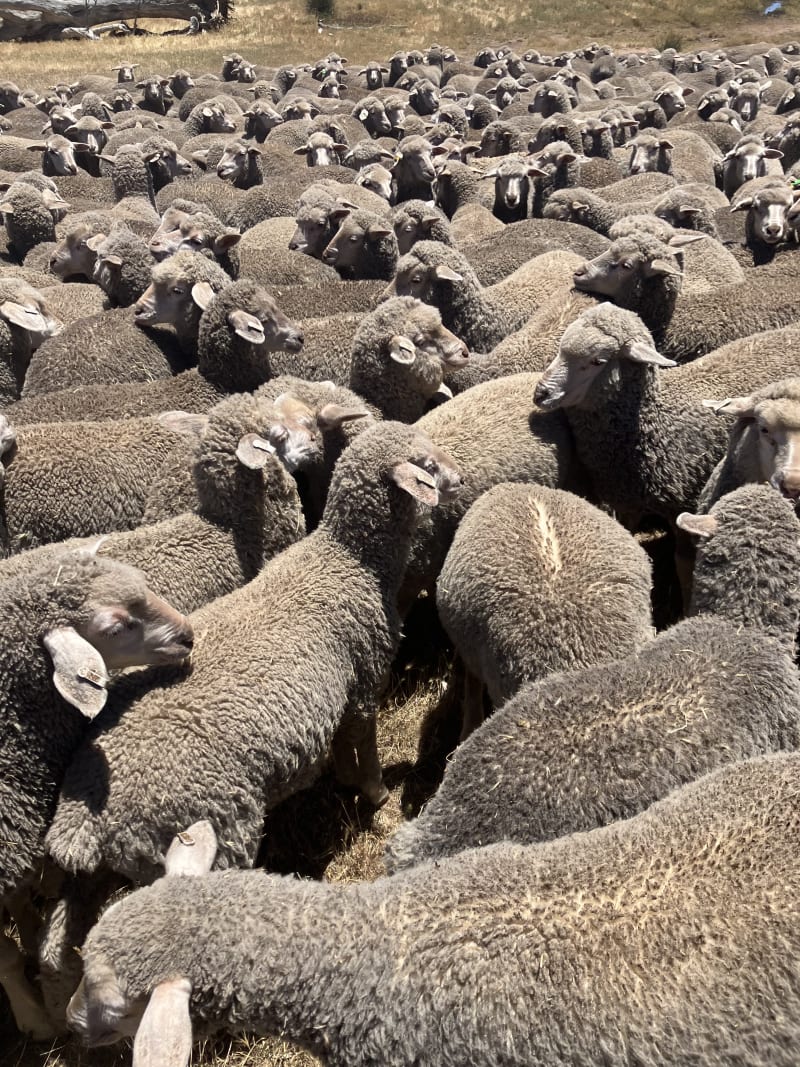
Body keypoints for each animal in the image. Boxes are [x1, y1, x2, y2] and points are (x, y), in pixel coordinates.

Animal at [46, 422, 462, 883]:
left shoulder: (347, 692)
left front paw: (346, 782)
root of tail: (82, 825)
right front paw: (377, 794)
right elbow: (365, 749)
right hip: (220, 829)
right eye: (426, 464)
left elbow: (342, 748)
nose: (461, 478)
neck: (350, 559)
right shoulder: (366, 682)